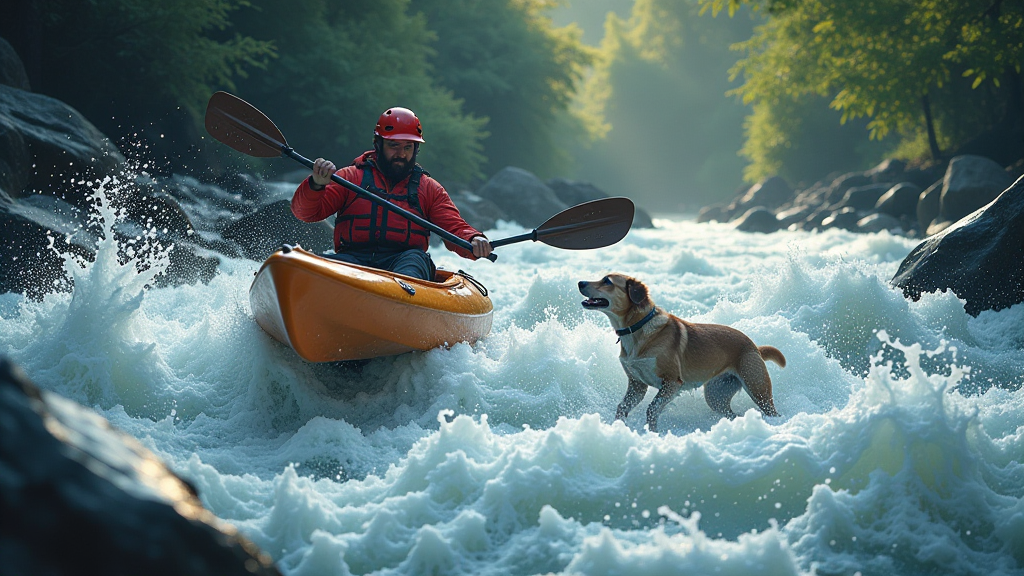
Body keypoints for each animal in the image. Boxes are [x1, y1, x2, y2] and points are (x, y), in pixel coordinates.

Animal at [577, 272, 782, 430]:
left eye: (607, 281)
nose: (580, 282)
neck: (638, 329)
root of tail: (754, 346)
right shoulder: (637, 385)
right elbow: (622, 407)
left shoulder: (671, 383)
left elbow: (652, 409)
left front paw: (653, 434)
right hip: (716, 395)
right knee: (732, 413)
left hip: (757, 388)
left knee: (771, 410)